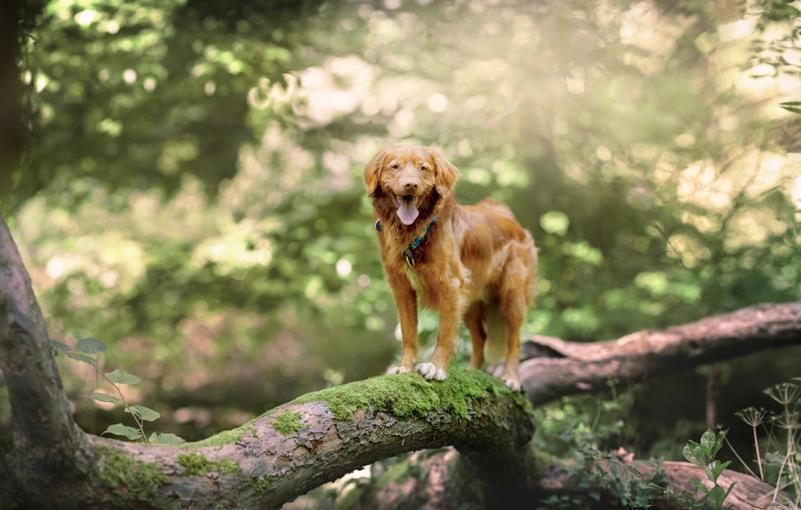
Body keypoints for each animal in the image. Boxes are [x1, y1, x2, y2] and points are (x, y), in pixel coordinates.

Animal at [364, 144, 536, 390]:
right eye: (394, 167)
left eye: (423, 168)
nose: (410, 185)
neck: (414, 233)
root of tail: (511, 218)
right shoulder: (402, 288)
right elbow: (408, 333)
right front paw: (404, 367)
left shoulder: (451, 285)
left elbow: (444, 333)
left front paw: (436, 367)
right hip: (471, 301)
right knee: (480, 338)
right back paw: (473, 372)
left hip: (511, 294)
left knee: (515, 339)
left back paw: (511, 376)